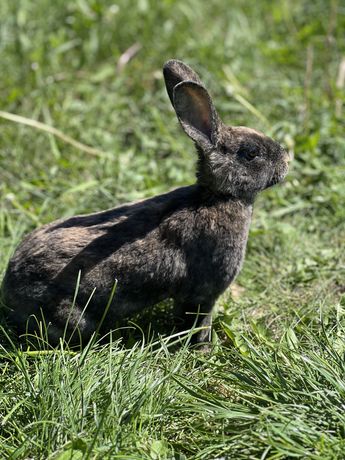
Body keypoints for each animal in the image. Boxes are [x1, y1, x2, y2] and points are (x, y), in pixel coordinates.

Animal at [0, 59, 290, 344]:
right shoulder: (203, 292)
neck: (215, 197)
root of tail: (10, 290)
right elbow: (197, 321)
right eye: (251, 153)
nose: (287, 159)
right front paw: (203, 348)